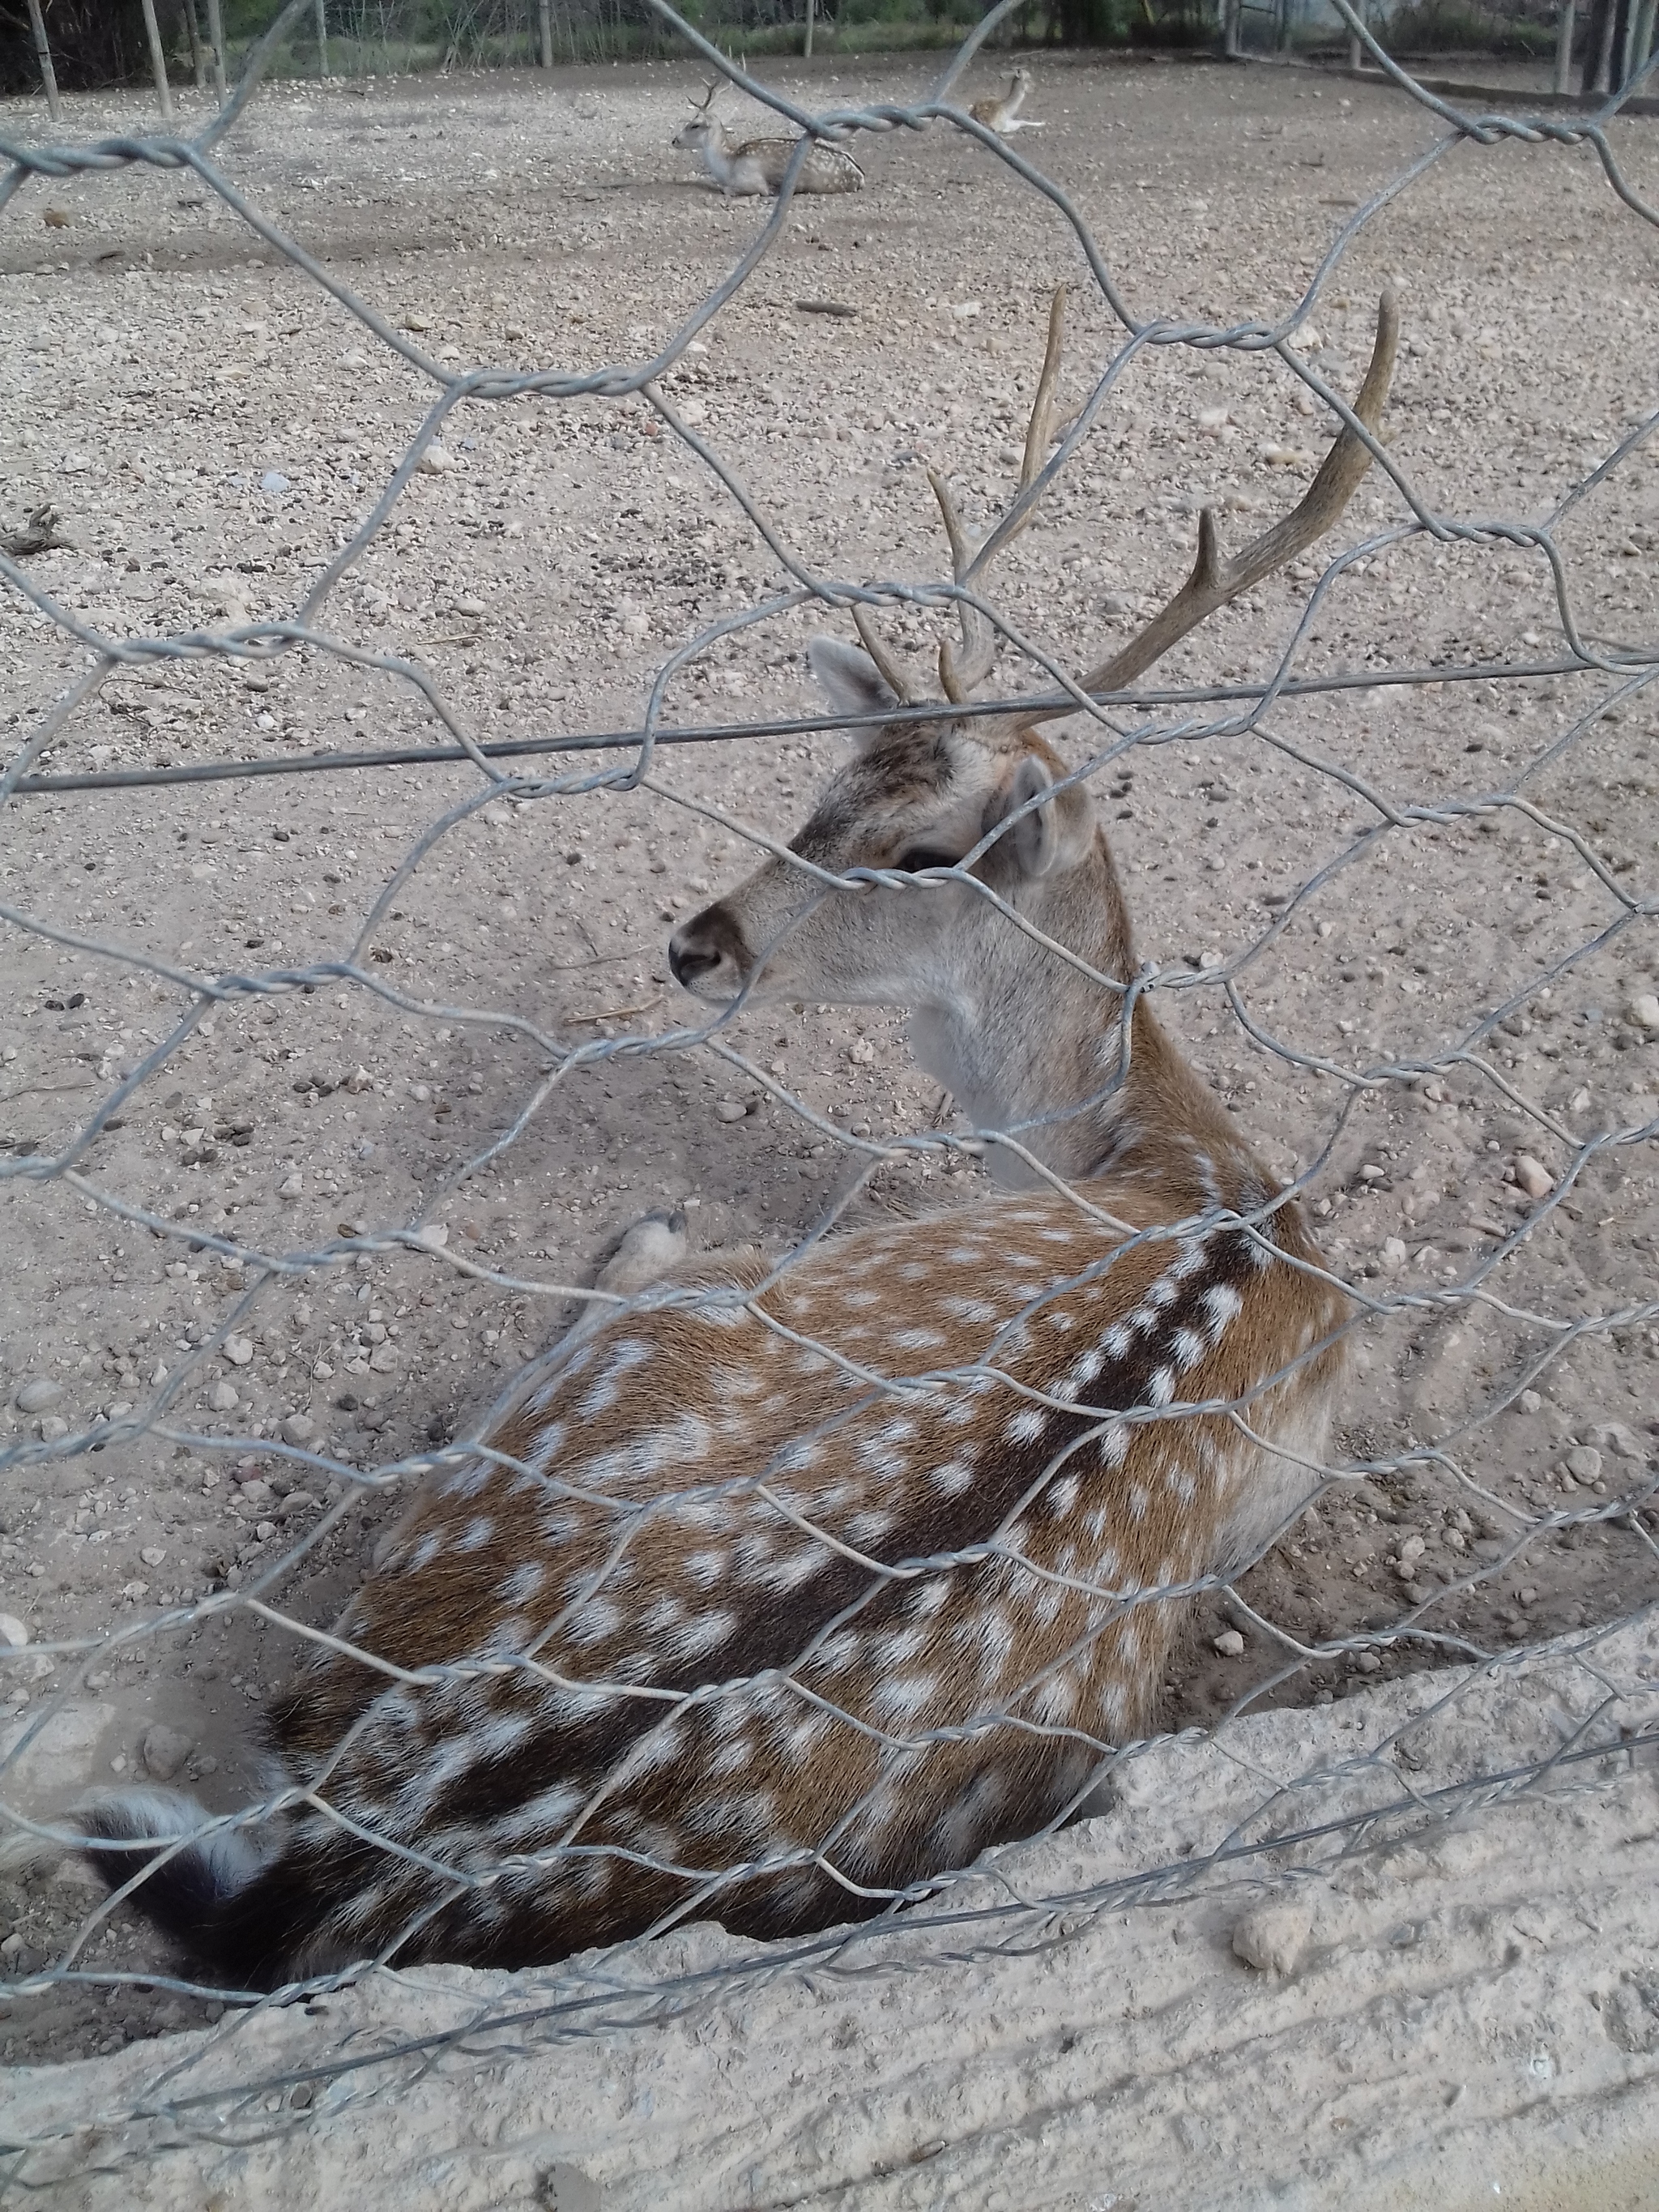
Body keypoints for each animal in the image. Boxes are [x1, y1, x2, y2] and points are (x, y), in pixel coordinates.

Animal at [81, 280, 1406, 1991]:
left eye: (921, 851)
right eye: (820, 786)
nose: (694, 945)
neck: (1181, 1164)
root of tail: (376, 1868)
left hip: (647, 1354)